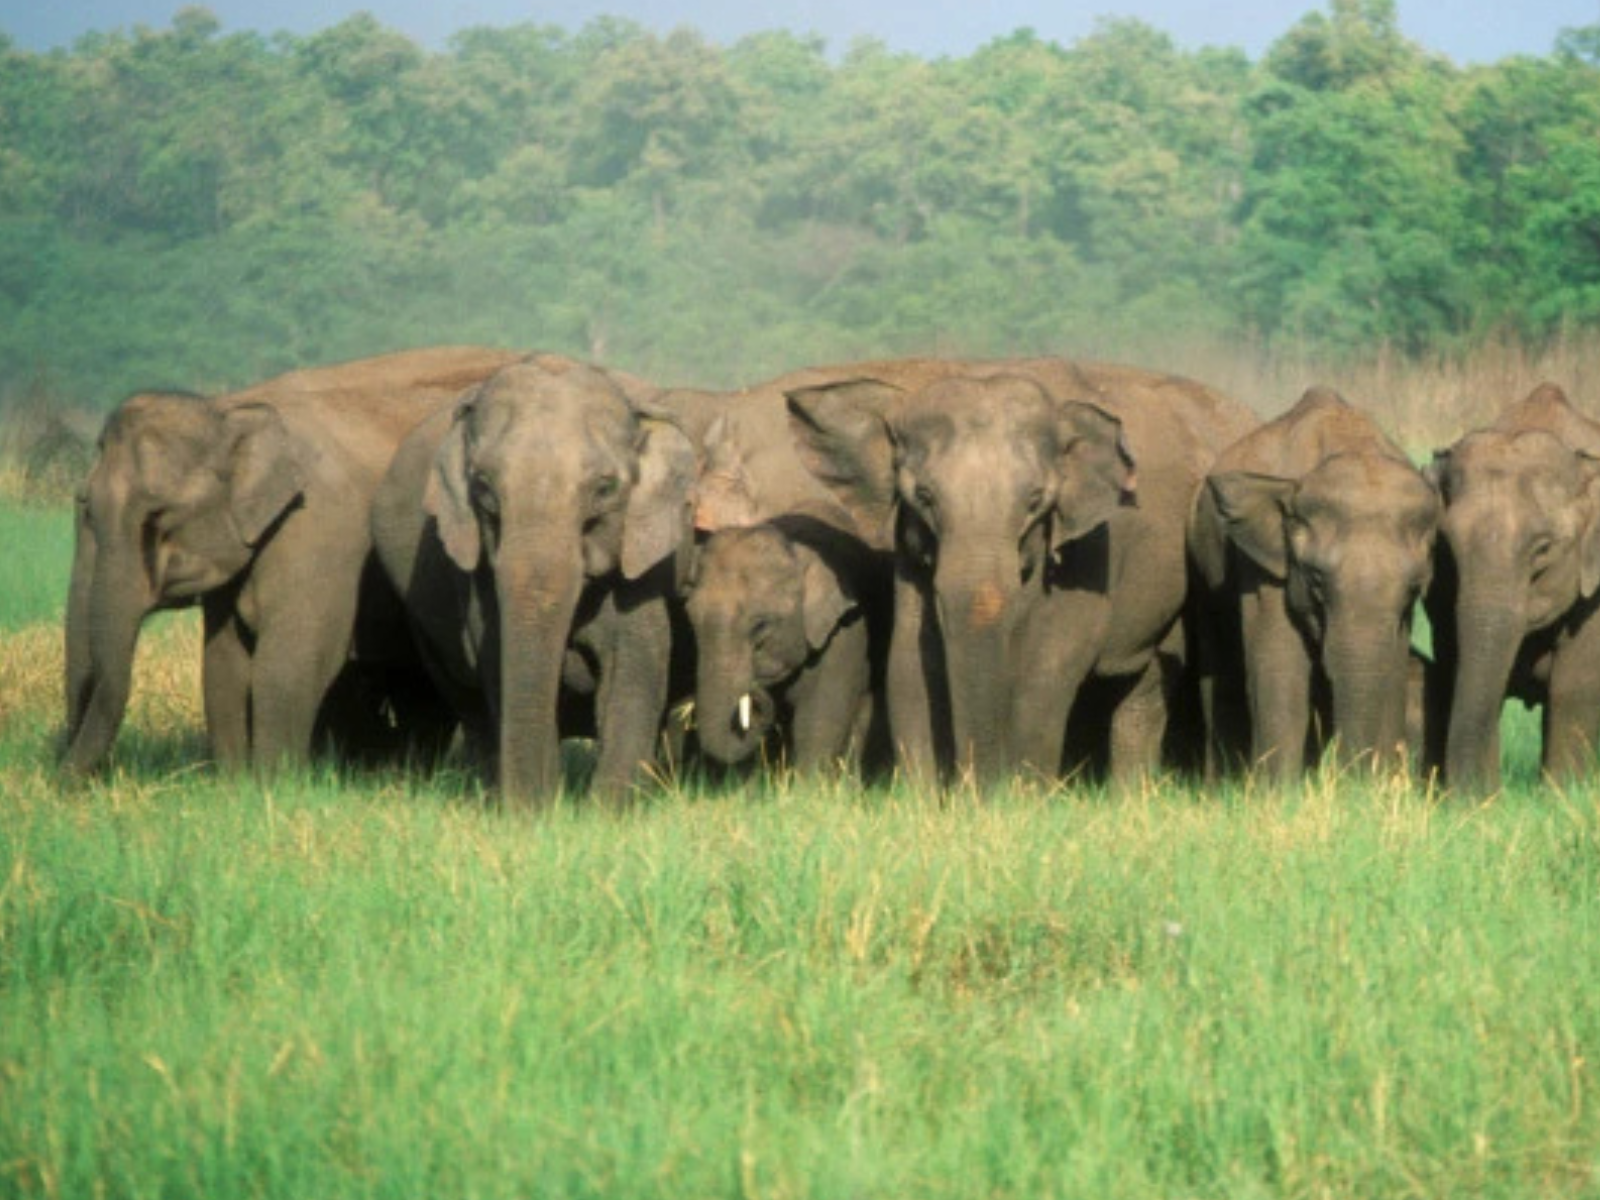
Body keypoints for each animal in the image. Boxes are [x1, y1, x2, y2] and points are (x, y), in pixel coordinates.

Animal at [62, 345, 522, 776]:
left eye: (157, 517)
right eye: (84, 506)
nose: (65, 777)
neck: (229, 409)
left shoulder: (318, 529)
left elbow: (289, 659)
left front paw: (273, 782)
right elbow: (222, 662)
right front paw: (234, 783)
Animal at [369, 354, 698, 806]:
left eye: (605, 488)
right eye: (483, 486)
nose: (532, 806)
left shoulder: (642, 566)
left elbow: (632, 670)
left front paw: (608, 812)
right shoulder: (477, 577)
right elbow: (498, 665)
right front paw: (536, 810)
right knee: (469, 703)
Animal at [778, 357, 1258, 787]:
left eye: (1035, 500)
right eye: (925, 496)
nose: (974, 788)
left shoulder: (1088, 553)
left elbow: (1045, 671)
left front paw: (1018, 801)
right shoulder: (908, 553)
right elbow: (911, 665)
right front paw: (922, 803)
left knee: (1148, 687)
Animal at [1187, 387, 1440, 781]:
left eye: (1414, 588)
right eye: (1317, 579)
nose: (1350, 778)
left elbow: (1392, 665)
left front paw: (1375, 787)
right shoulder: (1267, 564)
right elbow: (1281, 666)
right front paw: (1279, 790)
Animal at [1426, 383, 1600, 791]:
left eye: (1543, 548)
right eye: (1447, 545)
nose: (1464, 794)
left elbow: (1573, 686)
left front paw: (1563, 794)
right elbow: (1460, 669)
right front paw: (1484, 797)